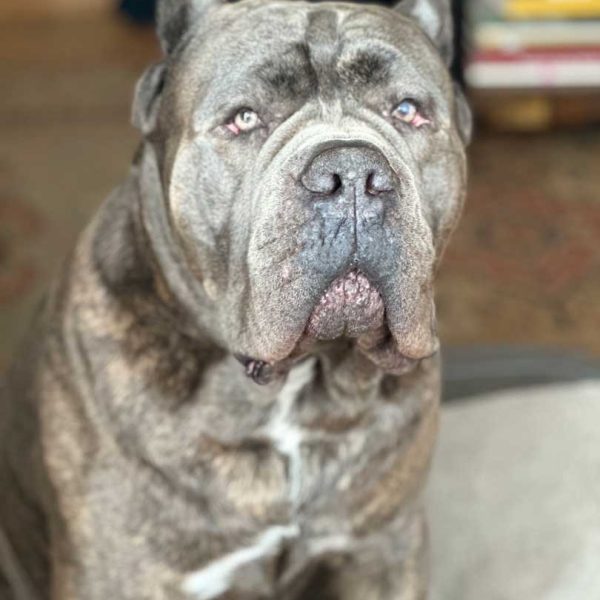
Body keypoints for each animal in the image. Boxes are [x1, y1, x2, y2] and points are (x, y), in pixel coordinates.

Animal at [0, 1, 468, 596]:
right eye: (244, 119)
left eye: (407, 111)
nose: (350, 172)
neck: (294, 390)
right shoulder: (118, 574)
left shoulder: (382, 550)